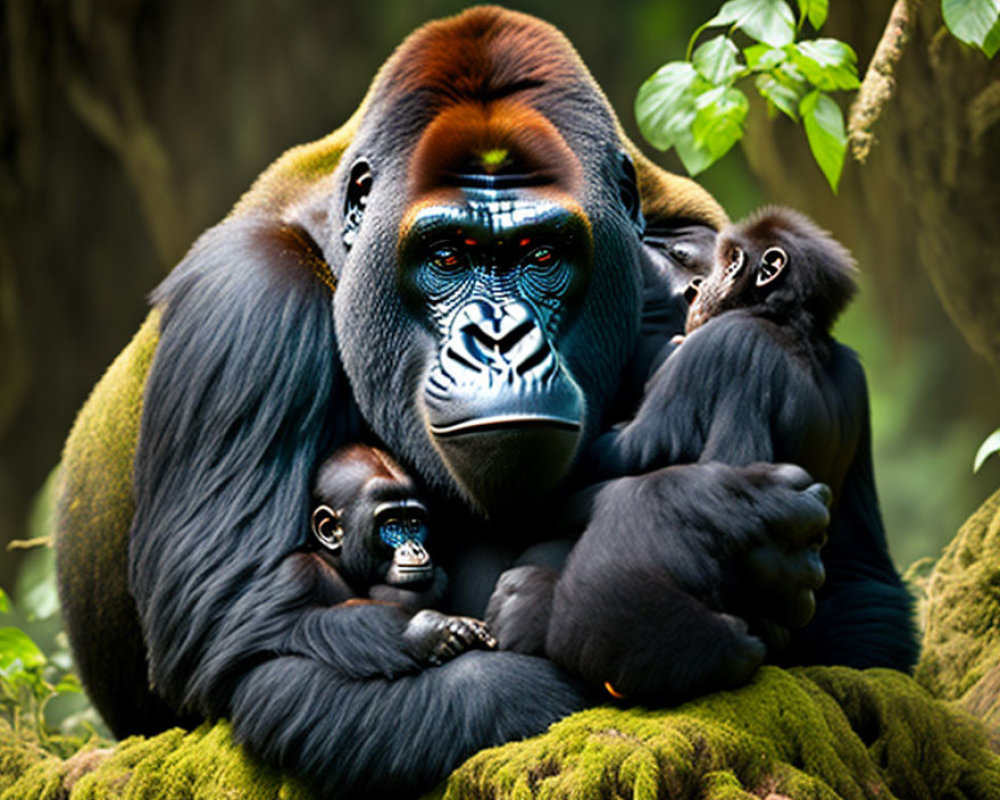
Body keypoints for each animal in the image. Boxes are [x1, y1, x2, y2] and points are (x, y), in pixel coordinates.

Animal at [488, 205, 916, 700]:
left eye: (728, 259)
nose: (698, 286)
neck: (790, 324)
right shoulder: (853, 375)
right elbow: (860, 559)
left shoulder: (727, 344)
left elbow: (627, 456)